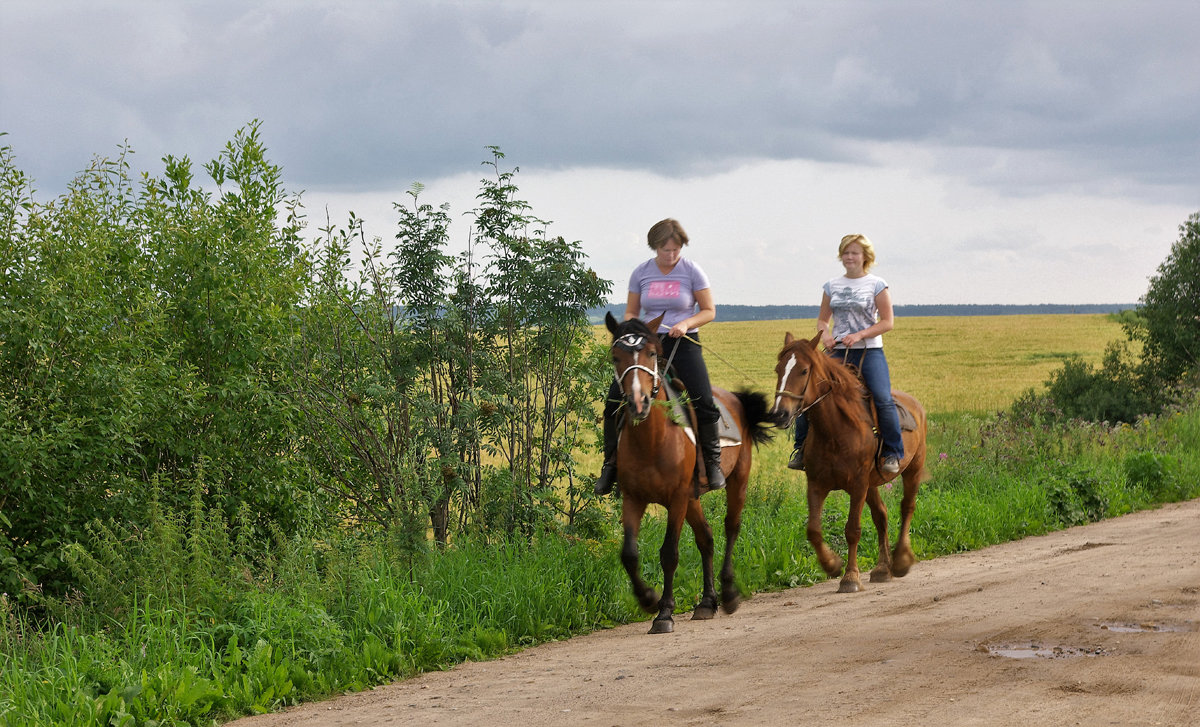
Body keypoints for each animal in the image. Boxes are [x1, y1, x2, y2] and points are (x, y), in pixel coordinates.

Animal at [604, 311, 772, 633]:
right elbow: (629, 554)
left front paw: (664, 613)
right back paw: (707, 603)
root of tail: (735, 398)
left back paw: (728, 593)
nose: (638, 402)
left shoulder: (677, 498)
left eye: (651, 353)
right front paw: (647, 599)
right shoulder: (633, 498)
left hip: (737, 480)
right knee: (706, 538)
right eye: (616, 357)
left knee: (731, 527)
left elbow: (669, 553)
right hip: (694, 498)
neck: (652, 440)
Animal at [768, 333, 926, 595]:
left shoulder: (858, 485)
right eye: (778, 369)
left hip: (912, 469)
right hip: (872, 484)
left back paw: (901, 560)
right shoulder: (816, 484)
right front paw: (832, 564)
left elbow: (852, 530)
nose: (779, 414)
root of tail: (916, 404)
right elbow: (813, 530)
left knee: (907, 507)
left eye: (803, 370)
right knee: (881, 515)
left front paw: (850, 577)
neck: (835, 431)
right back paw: (883, 569)